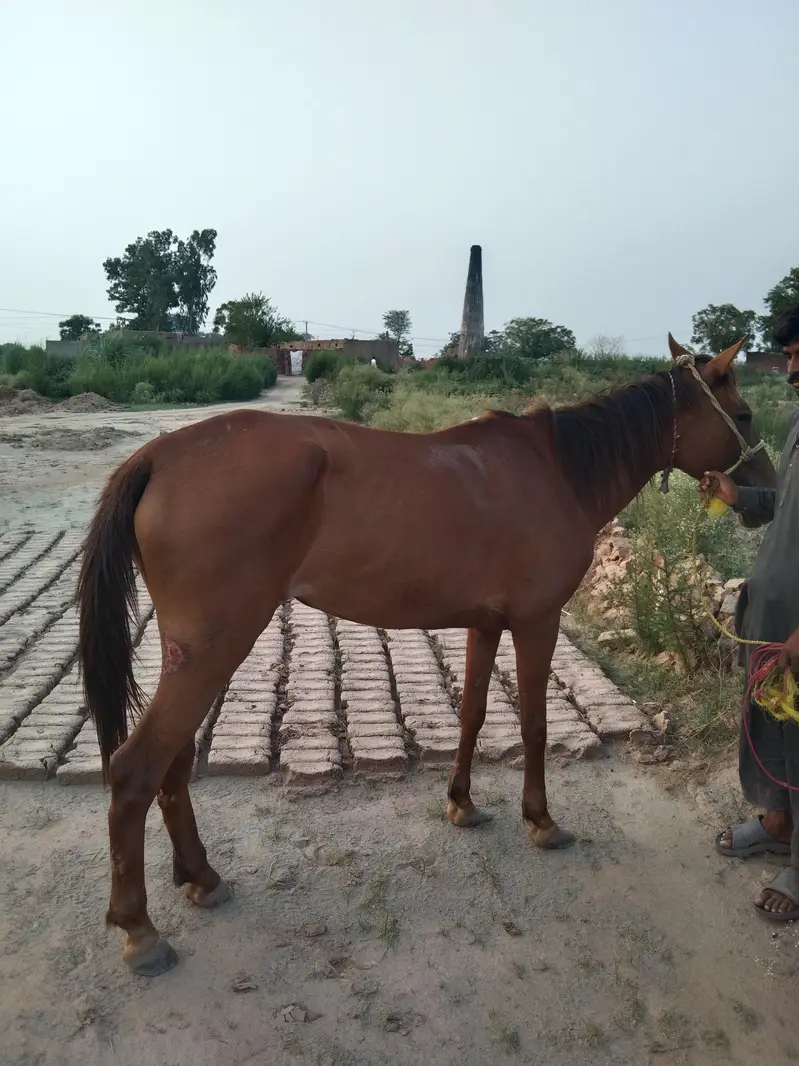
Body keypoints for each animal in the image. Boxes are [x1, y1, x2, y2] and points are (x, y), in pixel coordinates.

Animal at [77, 333, 776, 975]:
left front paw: (462, 803)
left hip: (195, 654)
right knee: (136, 770)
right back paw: (140, 930)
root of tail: (159, 455)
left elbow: (472, 714)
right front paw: (541, 820)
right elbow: (533, 723)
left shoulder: (484, 625)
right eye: (742, 415)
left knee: (171, 764)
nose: (767, 497)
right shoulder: (537, 622)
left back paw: (201, 877)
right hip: (213, 650)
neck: (558, 471)